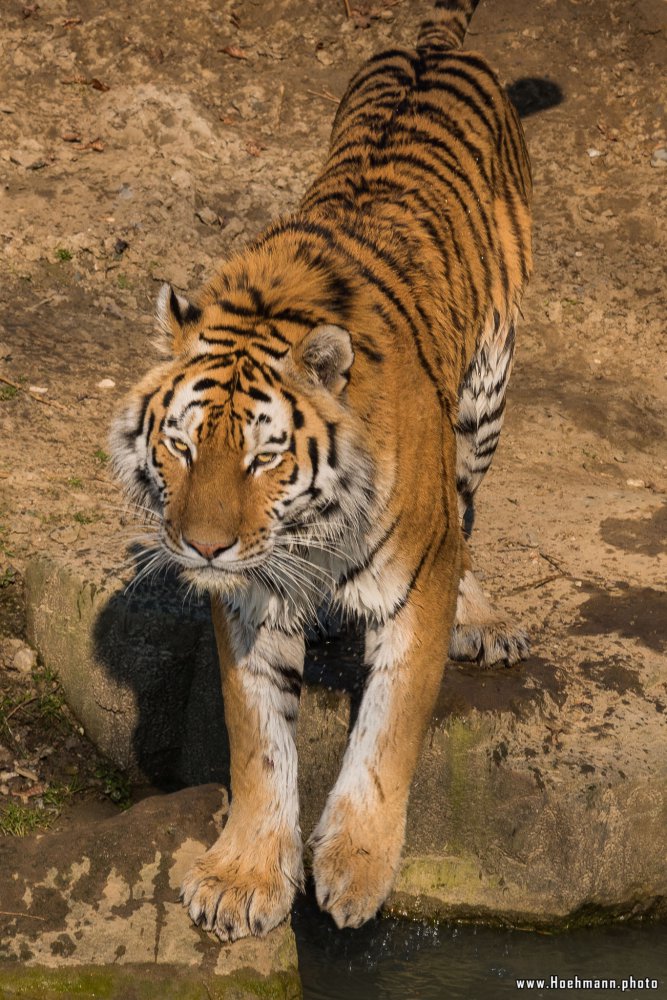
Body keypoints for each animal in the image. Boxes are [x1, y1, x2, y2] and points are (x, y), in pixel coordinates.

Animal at [112, 0, 536, 936]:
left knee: (469, 509)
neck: (304, 533)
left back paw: (486, 619)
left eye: (265, 456)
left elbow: (388, 729)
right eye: (182, 445)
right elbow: (258, 741)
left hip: (484, 395)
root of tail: (430, 46)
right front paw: (242, 876)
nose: (201, 549)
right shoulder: (250, 601)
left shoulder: (415, 585)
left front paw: (354, 868)